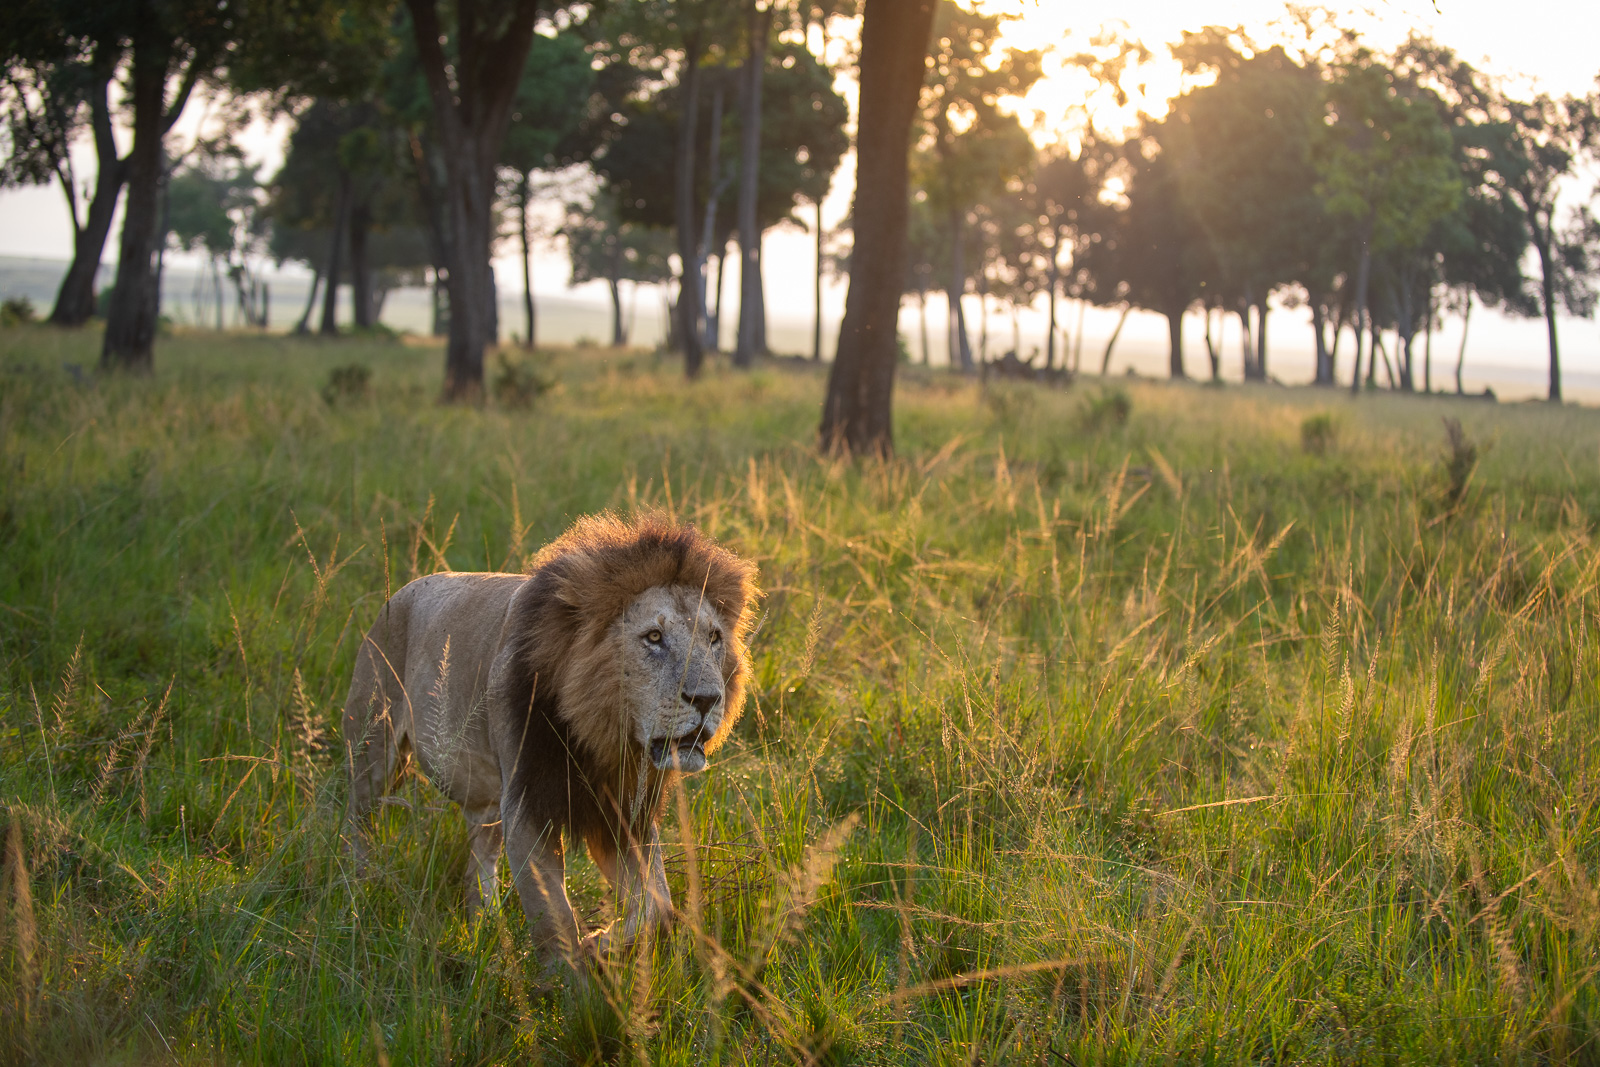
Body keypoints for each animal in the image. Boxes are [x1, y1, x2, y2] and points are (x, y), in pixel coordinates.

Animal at [341, 514, 758, 963]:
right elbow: (554, 919)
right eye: (653, 637)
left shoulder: (623, 814)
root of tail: (400, 592)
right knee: (355, 820)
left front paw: (603, 942)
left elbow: (658, 907)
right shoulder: (526, 803)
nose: (707, 698)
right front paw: (573, 973)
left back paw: (484, 922)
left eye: (714, 637)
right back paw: (357, 891)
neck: (603, 737)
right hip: (374, 753)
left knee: (479, 858)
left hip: (486, 802)